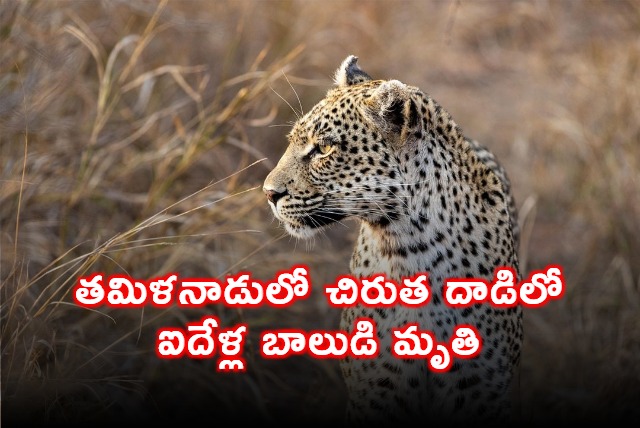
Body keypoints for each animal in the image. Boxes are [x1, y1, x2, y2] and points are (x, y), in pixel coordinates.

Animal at [263, 55, 523, 426]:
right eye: (292, 140)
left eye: (324, 148)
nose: (268, 193)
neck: (409, 247)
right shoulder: (377, 390)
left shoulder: (477, 390)